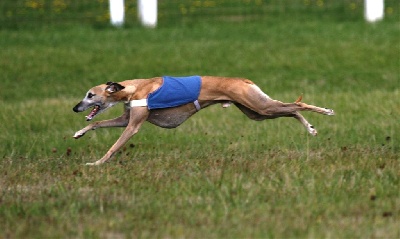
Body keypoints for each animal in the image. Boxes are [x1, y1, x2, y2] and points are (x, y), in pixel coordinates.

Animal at [72, 75, 334, 165]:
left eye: (90, 95)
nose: (75, 108)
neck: (133, 88)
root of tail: (242, 80)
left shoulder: (134, 125)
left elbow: (114, 147)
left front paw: (96, 164)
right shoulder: (127, 117)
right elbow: (96, 122)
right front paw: (79, 133)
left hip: (260, 106)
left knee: (297, 105)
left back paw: (325, 113)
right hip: (256, 112)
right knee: (290, 110)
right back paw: (311, 128)